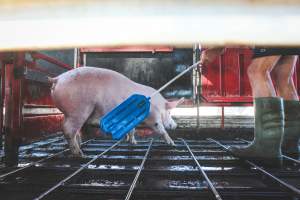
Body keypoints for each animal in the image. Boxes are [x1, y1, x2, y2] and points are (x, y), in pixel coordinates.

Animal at [48, 67, 184, 156]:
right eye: (169, 112)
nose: (176, 125)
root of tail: (57, 79)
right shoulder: (153, 117)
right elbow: (160, 129)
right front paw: (172, 144)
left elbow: (132, 130)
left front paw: (132, 142)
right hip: (78, 109)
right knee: (68, 129)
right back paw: (79, 153)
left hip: (72, 112)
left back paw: (80, 145)